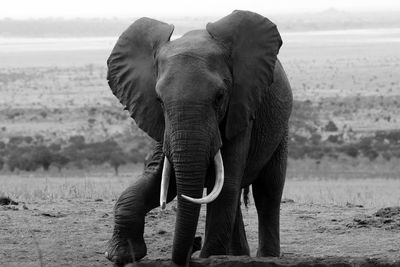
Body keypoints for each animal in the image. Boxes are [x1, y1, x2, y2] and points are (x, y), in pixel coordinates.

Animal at [104, 9, 290, 266]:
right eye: (159, 100)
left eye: (220, 97)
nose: (196, 241)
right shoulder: (162, 124)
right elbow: (161, 181)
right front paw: (121, 255)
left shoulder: (241, 109)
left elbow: (225, 185)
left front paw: (208, 258)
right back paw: (239, 256)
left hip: (281, 128)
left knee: (267, 191)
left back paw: (265, 257)